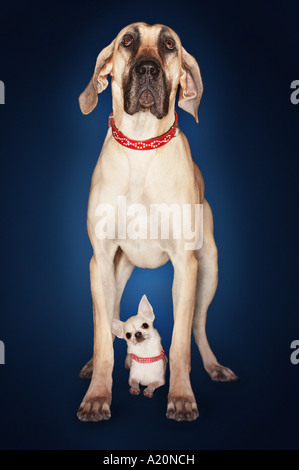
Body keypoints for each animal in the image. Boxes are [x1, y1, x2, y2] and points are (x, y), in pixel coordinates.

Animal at [78, 22, 239, 422]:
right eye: (128, 41)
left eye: (169, 45)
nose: (148, 69)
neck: (141, 144)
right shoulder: (100, 259)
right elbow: (103, 336)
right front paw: (97, 395)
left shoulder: (186, 264)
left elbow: (180, 340)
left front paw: (181, 397)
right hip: (117, 270)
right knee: (110, 316)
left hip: (209, 271)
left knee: (197, 326)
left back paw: (213, 366)